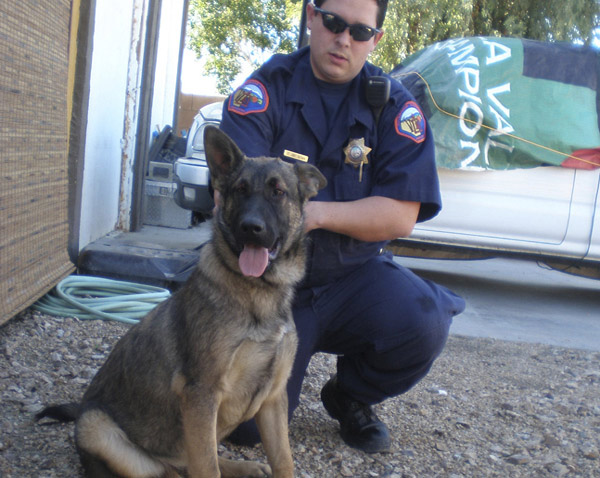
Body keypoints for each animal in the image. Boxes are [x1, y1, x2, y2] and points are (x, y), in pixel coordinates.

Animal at [36, 126, 328, 478]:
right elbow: (207, 466)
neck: (259, 291)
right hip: (98, 427)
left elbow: (283, 459)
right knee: (172, 467)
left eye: (278, 192)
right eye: (240, 190)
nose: (250, 228)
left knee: (189, 461)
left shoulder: (272, 399)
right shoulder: (202, 394)